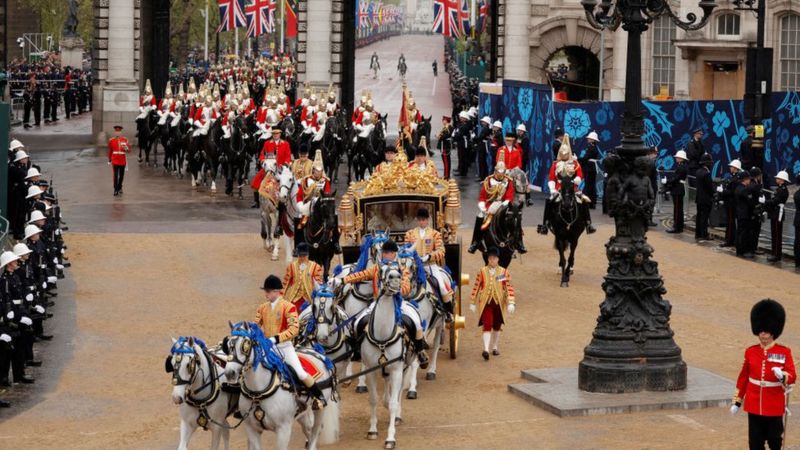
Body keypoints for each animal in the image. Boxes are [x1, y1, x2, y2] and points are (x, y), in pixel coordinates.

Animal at [223, 320, 340, 450]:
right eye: (227, 345)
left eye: (245, 345)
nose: (230, 373)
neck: (258, 393)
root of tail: (320, 355)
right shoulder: (252, 429)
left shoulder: (284, 430)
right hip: (302, 413)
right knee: (308, 431)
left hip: (320, 410)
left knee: (316, 432)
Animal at [360, 266, 410, 448]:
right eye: (382, 269)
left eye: (399, 270)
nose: (395, 278)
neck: (382, 337)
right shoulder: (370, 370)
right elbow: (373, 399)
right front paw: (372, 430)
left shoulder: (397, 370)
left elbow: (395, 403)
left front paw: (390, 438)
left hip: (405, 367)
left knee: (399, 392)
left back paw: (397, 416)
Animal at [396, 248, 446, 400]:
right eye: (396, 265)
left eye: (412, 266)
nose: (403, 287)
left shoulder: (421, 329)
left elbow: (415, 360)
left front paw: (412, 387)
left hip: (440, 324)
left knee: (436, 346)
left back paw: (431, 370)